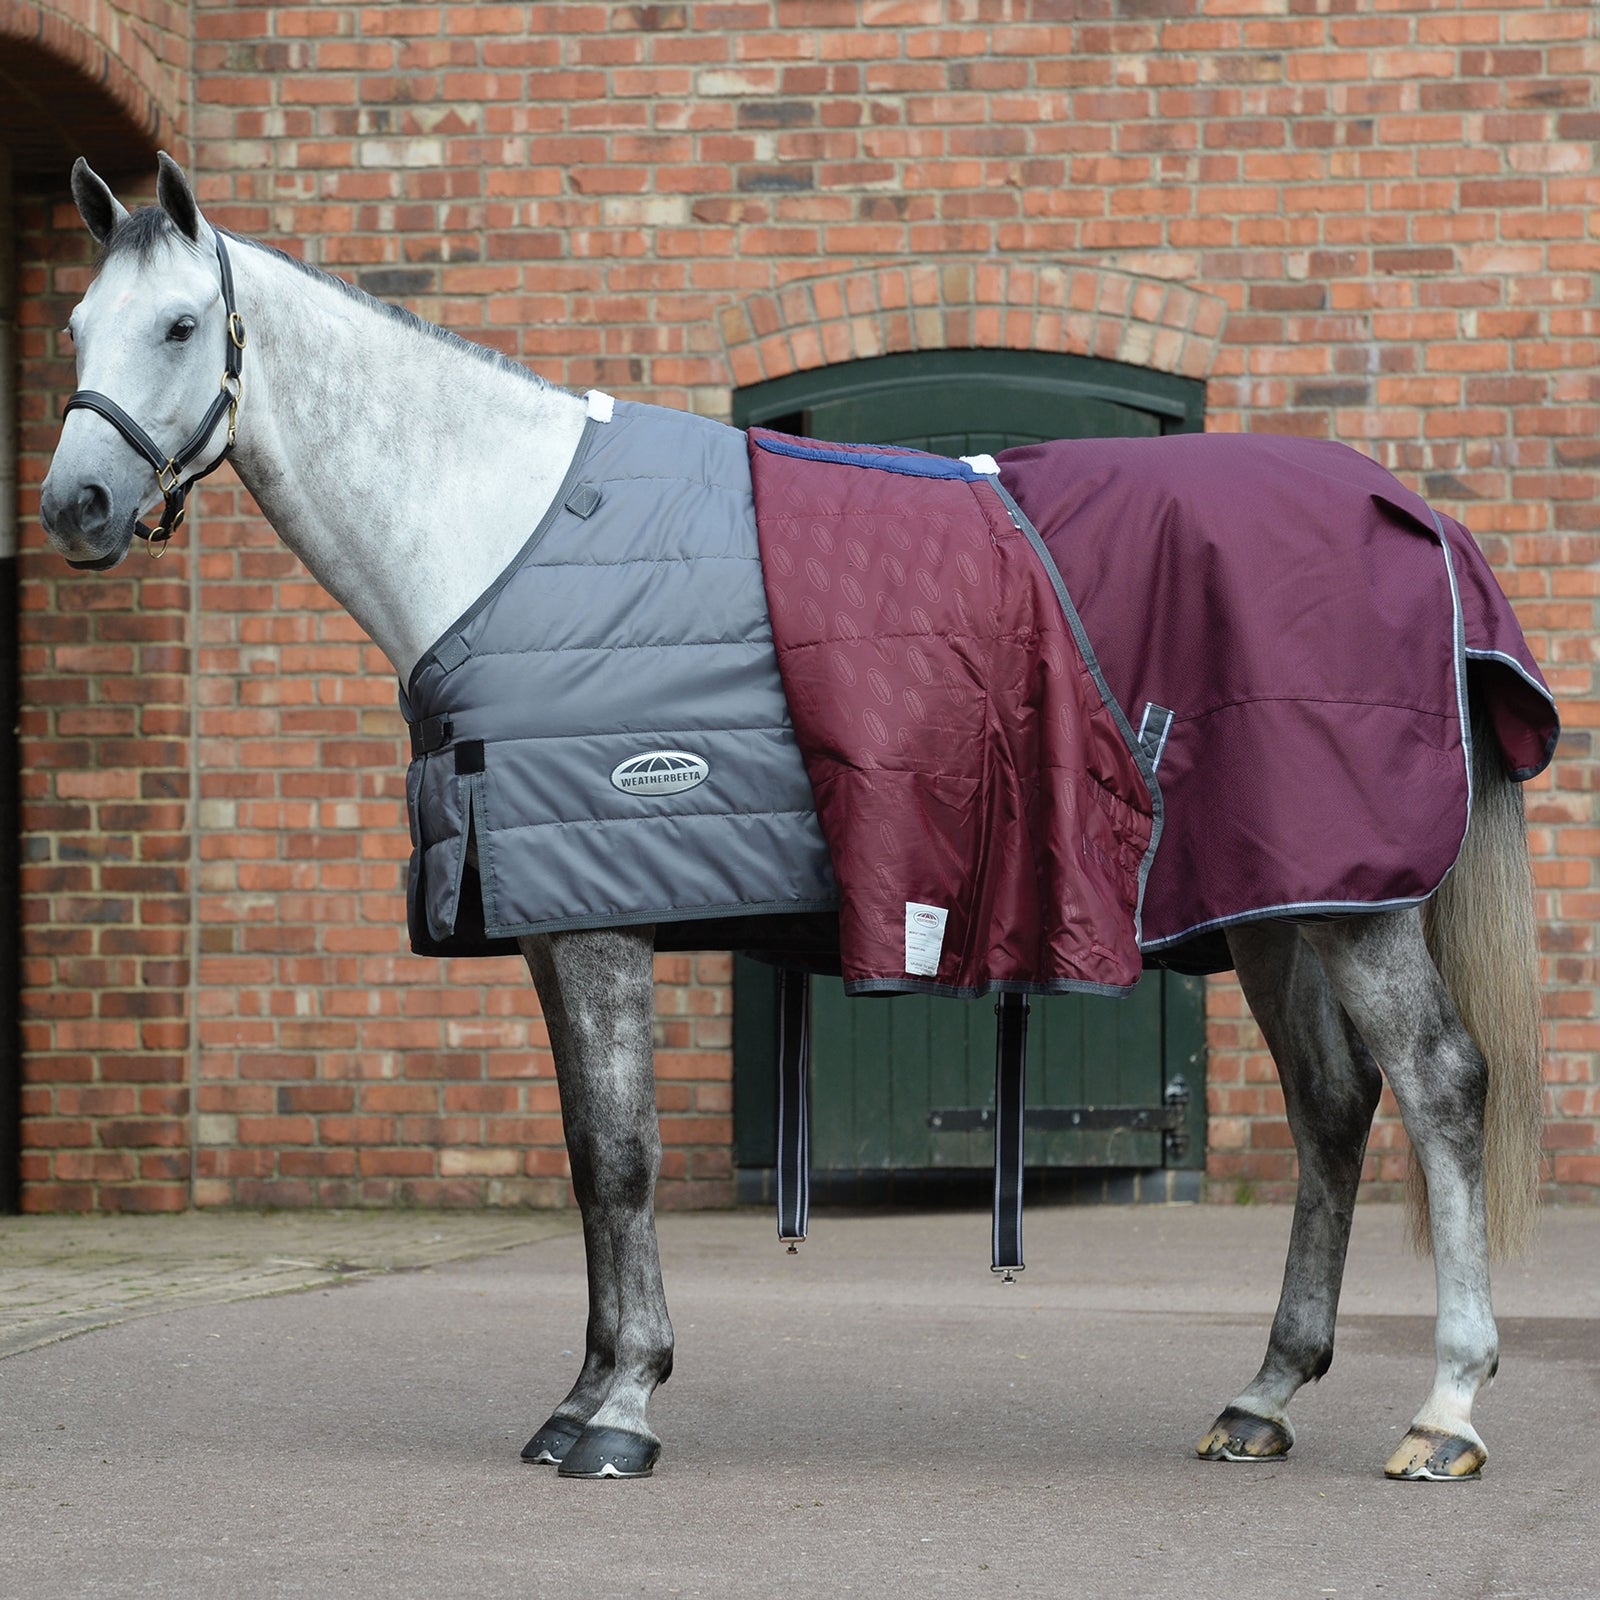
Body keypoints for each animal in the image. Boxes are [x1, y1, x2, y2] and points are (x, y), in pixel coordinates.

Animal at [39, 155, 1546, 1482]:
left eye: (180, 325)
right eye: (73, 327)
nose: (76, 505)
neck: (505, 536)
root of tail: (1410, 514)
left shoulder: (602, 919)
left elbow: (624, 1159)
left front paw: (621, 1410)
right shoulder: (547, 919)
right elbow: (588, 1159)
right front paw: (582, 1394)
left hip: (1353, 905)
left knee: (1440, 1086)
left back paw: (1447, 1410)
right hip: (1278, 905)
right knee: (1333, 1108)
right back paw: (1263, 1395)